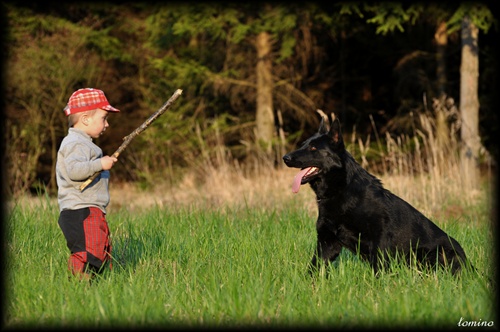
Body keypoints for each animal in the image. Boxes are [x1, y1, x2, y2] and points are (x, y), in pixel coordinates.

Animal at [284, 111, 470, 274]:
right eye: (302, 145)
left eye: (313, 148)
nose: (285, 158)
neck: (341, 191)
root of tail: (469, 264)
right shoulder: (327, 243)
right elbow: (313, 269)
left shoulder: (379, 241)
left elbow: (379, 271)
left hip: (429, 254)